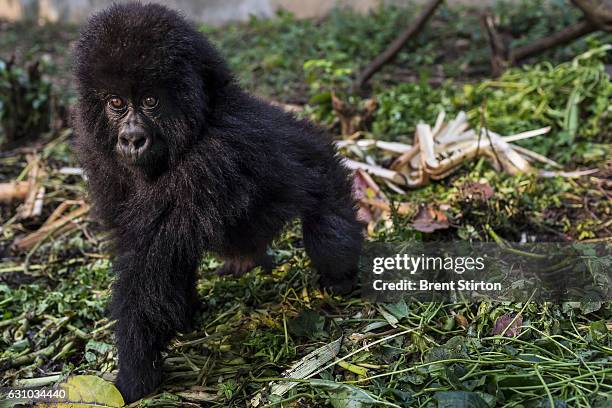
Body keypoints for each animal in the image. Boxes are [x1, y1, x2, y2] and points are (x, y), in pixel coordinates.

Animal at [73, 2, 360, 404]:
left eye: (150, 101)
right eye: (115, 103)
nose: (131, 139)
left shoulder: (204, 162)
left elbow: (151, 277)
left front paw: (133, 378)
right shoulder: (100, 159)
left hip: (318, 179)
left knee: (323, 202)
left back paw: (339, 270)